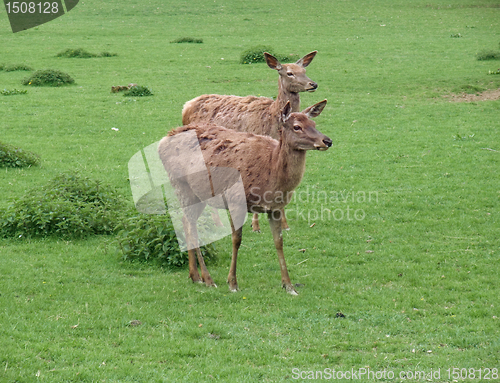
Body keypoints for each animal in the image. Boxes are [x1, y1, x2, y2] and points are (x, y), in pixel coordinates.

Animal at [159, 100, 332, 296]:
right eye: (297, 126)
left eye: (314, 124)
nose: (327, 141)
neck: (272, 174)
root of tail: (163, 140)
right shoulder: (236, 200)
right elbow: (236, 240)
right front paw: (232, 283)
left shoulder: (275, 208)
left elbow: (279, 241)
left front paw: (289, 286)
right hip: (181, 185)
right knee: (192, 227)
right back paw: (208, 279)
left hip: (198, 193)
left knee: (186, 221)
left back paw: (195, 275)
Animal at [182, 50, 318, 232]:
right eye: (289, 73)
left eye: (304, 71)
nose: (313, 84)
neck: (272, 119)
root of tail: (185, 106)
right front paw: (255, 225)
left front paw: (285, 225)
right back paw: (218, 223)